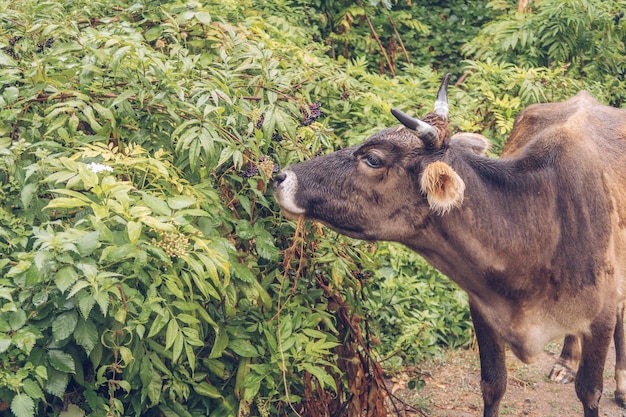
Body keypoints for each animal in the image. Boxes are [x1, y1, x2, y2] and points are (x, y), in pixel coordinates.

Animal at [274, 75, 626, 416]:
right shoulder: (482, 307)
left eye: (373, 159)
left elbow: (590, 391)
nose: (282, 177)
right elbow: (493, 385)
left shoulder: (602, 314)